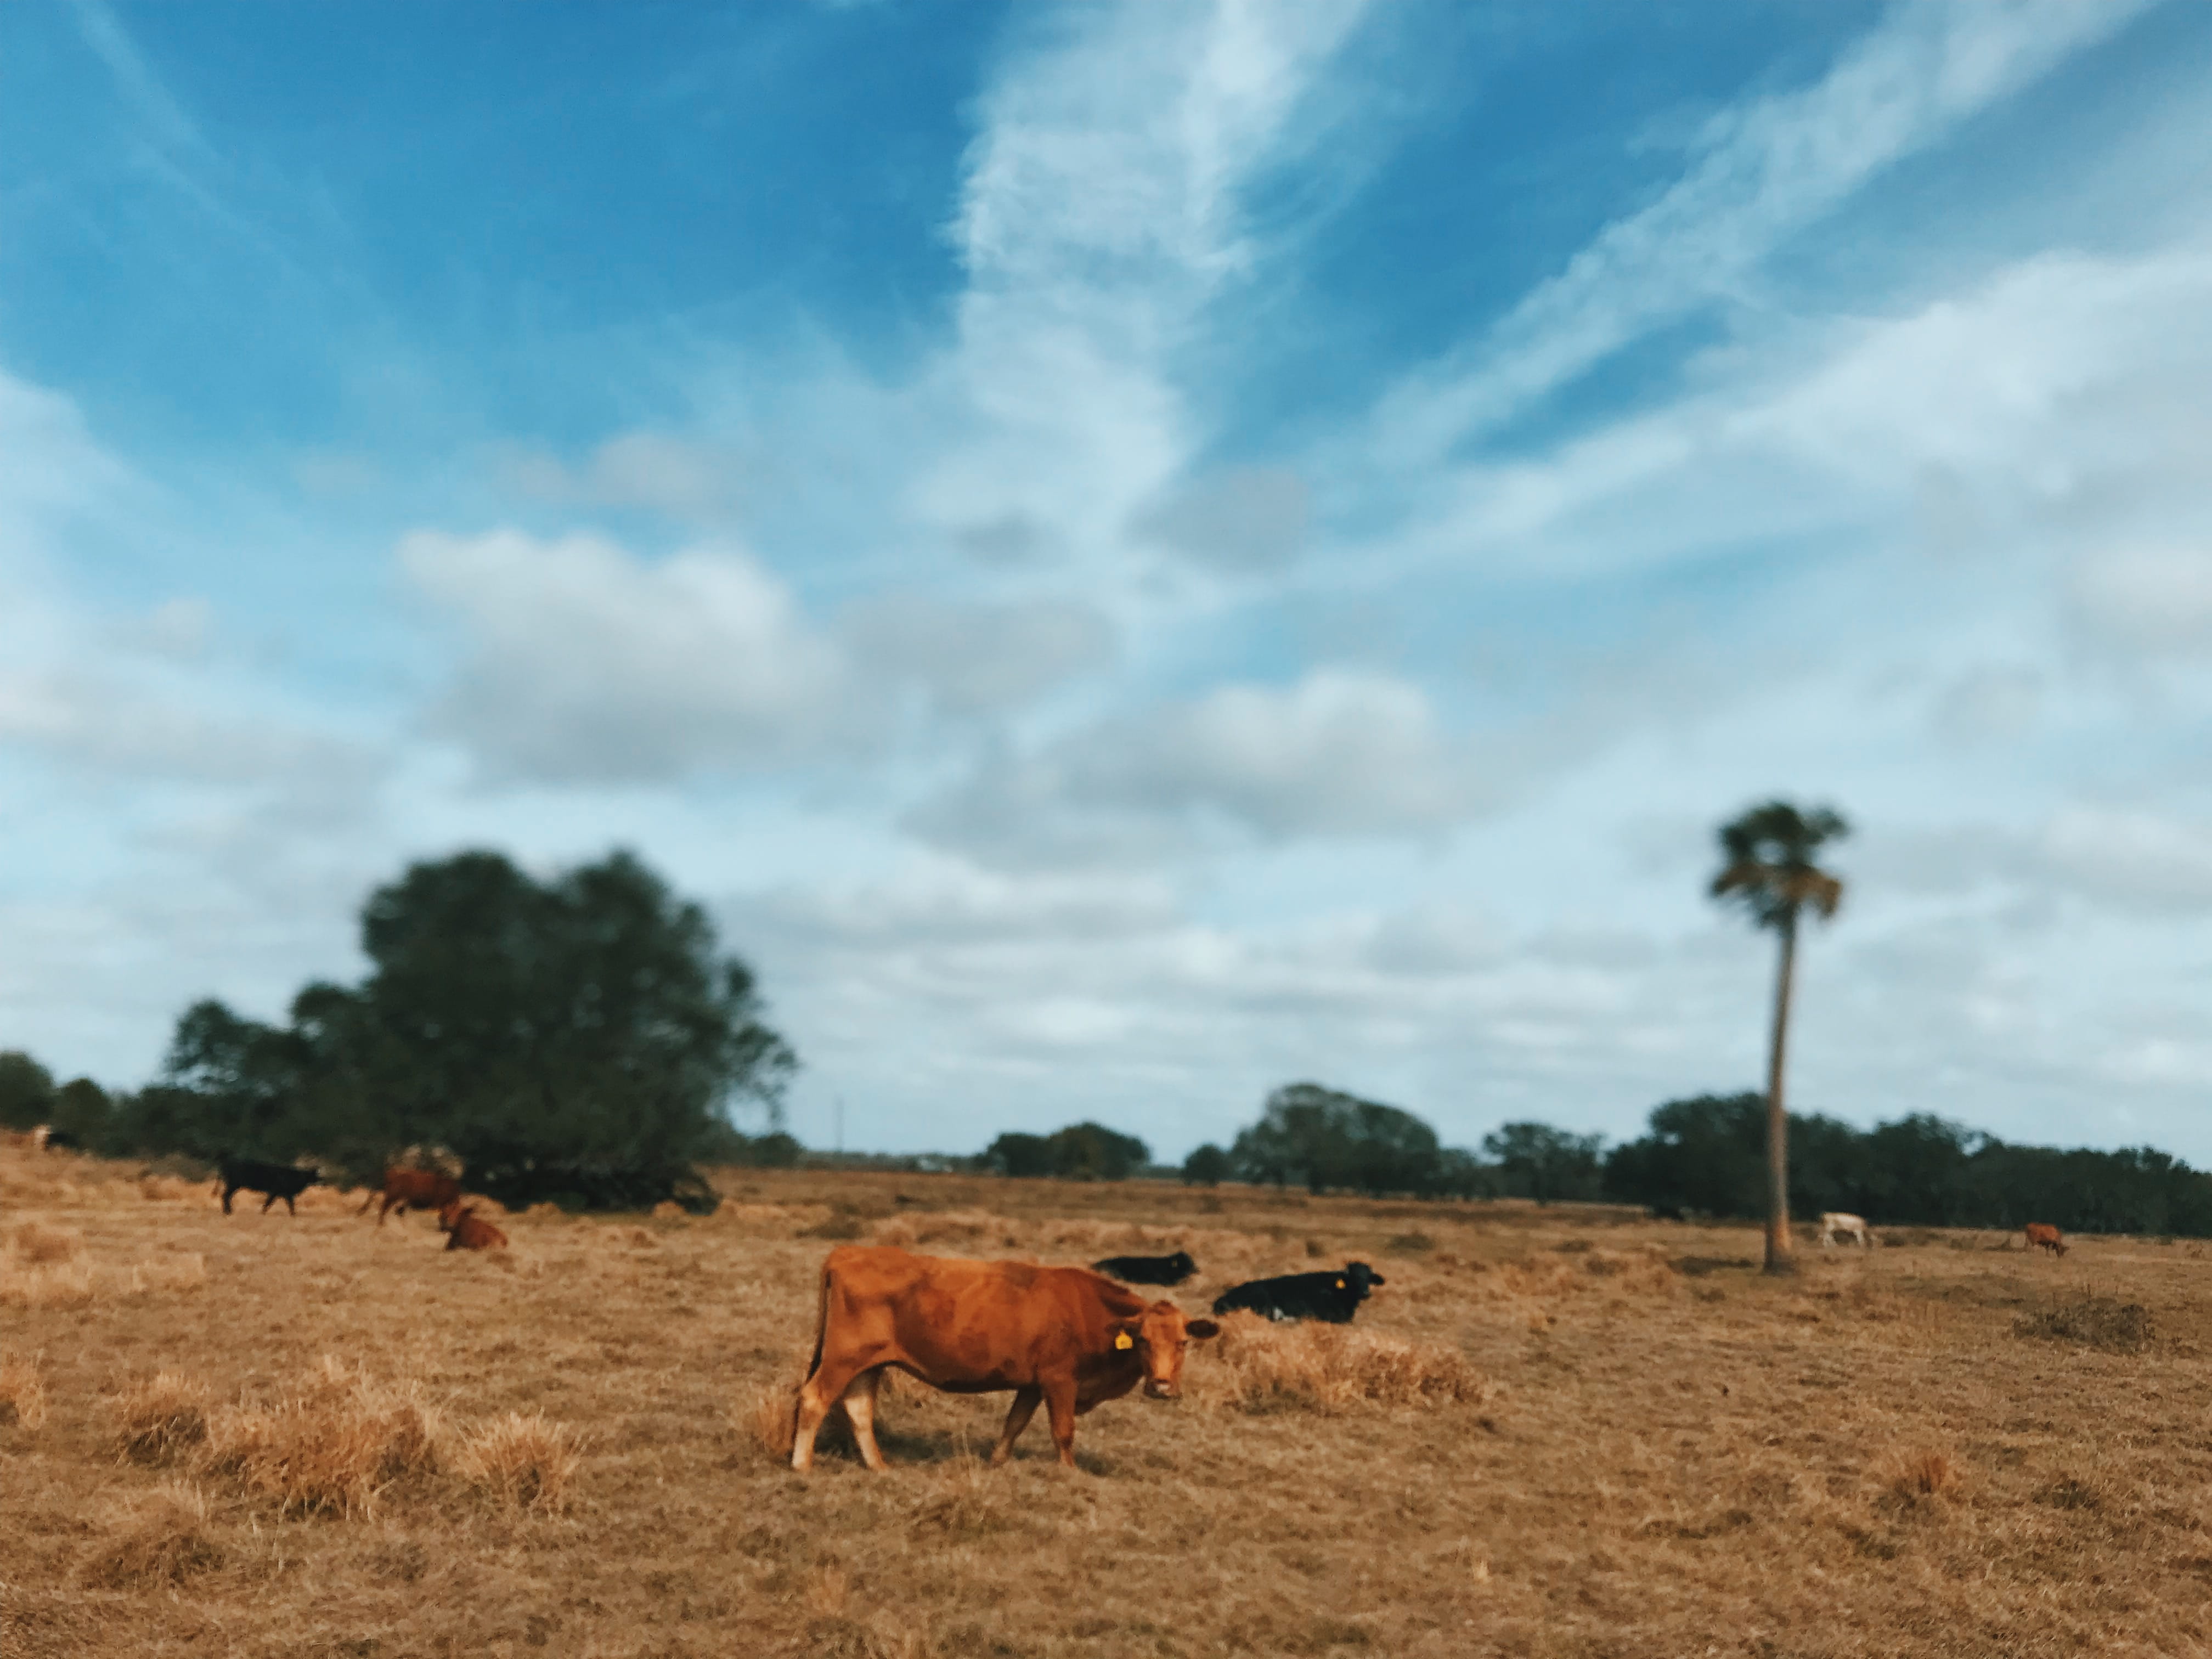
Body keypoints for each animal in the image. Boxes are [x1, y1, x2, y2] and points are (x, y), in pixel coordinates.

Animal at [216, 1157, 321, 1216]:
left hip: (235, 1186)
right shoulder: (279, 1191)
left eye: (315, 1175)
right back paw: (228, 1211)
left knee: (227, 1196)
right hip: (234, 1185)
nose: (321, 1179)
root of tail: (226, 1165)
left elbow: (286, 1203)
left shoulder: (282, 1193)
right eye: (313, 1176)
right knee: (225, 1196)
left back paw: (228, 1211)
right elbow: (271, 1202)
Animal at [360, 1167, 463, 1225]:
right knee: (384, 1207)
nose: (452, 1224)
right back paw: (382, 1223)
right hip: (393, 1196)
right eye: (455, 1213)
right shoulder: (437, 1204)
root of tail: (392, 1173)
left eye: (458, 1214)